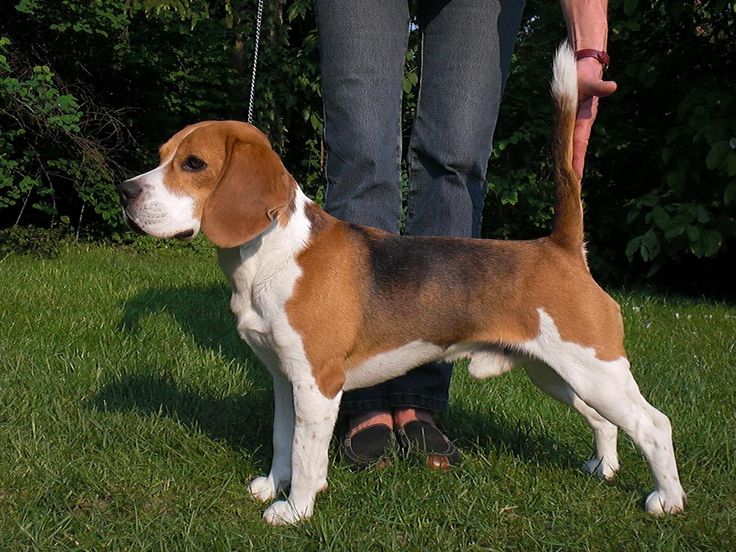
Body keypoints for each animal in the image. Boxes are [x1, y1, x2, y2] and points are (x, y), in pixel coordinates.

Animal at [117, 44, 686, 525]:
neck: (268, 256)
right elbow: (282, 440)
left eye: (194, 164)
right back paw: (603, 468)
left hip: (595, 369)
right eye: (162, 155)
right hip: (559, 373)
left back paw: (668, 500)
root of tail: (560, 248)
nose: (125, 191)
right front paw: (271, 486)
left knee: (654, 424)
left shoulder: (318, 384)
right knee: (604, 420)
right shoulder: (283, 378)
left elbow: (305, 453)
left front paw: (295, 509)